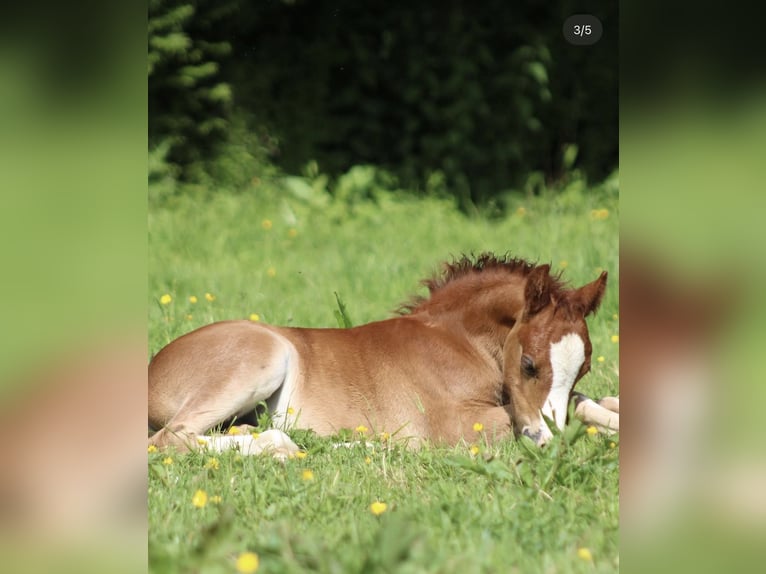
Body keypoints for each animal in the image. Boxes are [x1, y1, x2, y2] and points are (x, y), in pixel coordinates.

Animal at [149, 253, 610, 454]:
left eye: (583, 368)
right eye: (530, 364)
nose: (545, 441)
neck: (457, 339)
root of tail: (152, 366)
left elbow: (584, 404)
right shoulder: (453, 426)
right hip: (262, 358)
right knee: (168, 439)